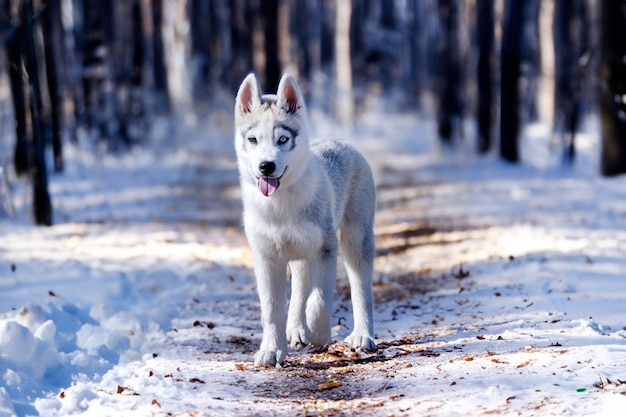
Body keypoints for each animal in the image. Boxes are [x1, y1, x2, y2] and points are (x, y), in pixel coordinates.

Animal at [232, 73, 372, 366]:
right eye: (253, 139)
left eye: (283, 139)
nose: (266, 166)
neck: (279, 206)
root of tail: (340, 141)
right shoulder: (266, 259)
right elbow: (272, 311)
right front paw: (271, 351)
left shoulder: (325, 249)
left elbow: (318, 303)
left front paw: (317, 335)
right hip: (298, 255)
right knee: (299, 290)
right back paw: (295, 330)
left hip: (356, 241)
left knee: (360, 288)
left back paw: (363, 336)